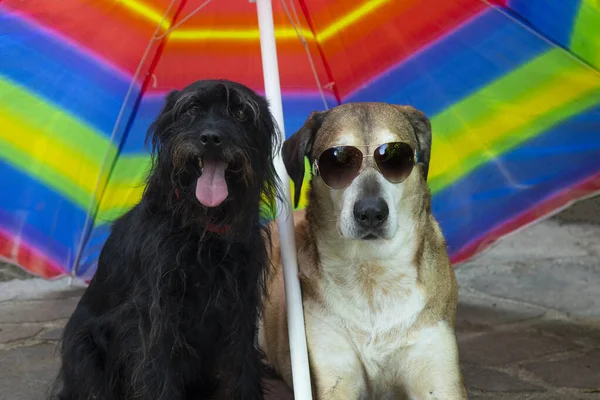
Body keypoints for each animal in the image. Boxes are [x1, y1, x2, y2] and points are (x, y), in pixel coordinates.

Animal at [50, 79, 280, 398]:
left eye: (241, 112)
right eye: (192, 109)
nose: (211, 138)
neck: (203, 228)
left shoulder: (241, 302)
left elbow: (242, 361)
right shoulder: (157, 311)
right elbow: (158, 368)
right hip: (84, 347)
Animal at [260, 104, 466, 400]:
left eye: (395, 156)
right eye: (338, 159)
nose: (371, 212)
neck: (373, 275)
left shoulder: (438, 377)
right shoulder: (337, 377)